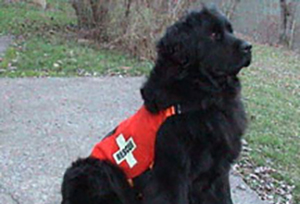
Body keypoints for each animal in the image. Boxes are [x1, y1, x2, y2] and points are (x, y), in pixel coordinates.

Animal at [60, 5, 251, 204]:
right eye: (213, 34)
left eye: (230, 30)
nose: (248, 47)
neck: (204, 98)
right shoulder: (172, 173)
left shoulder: (218, 170)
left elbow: (224, 197)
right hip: (95, 168)